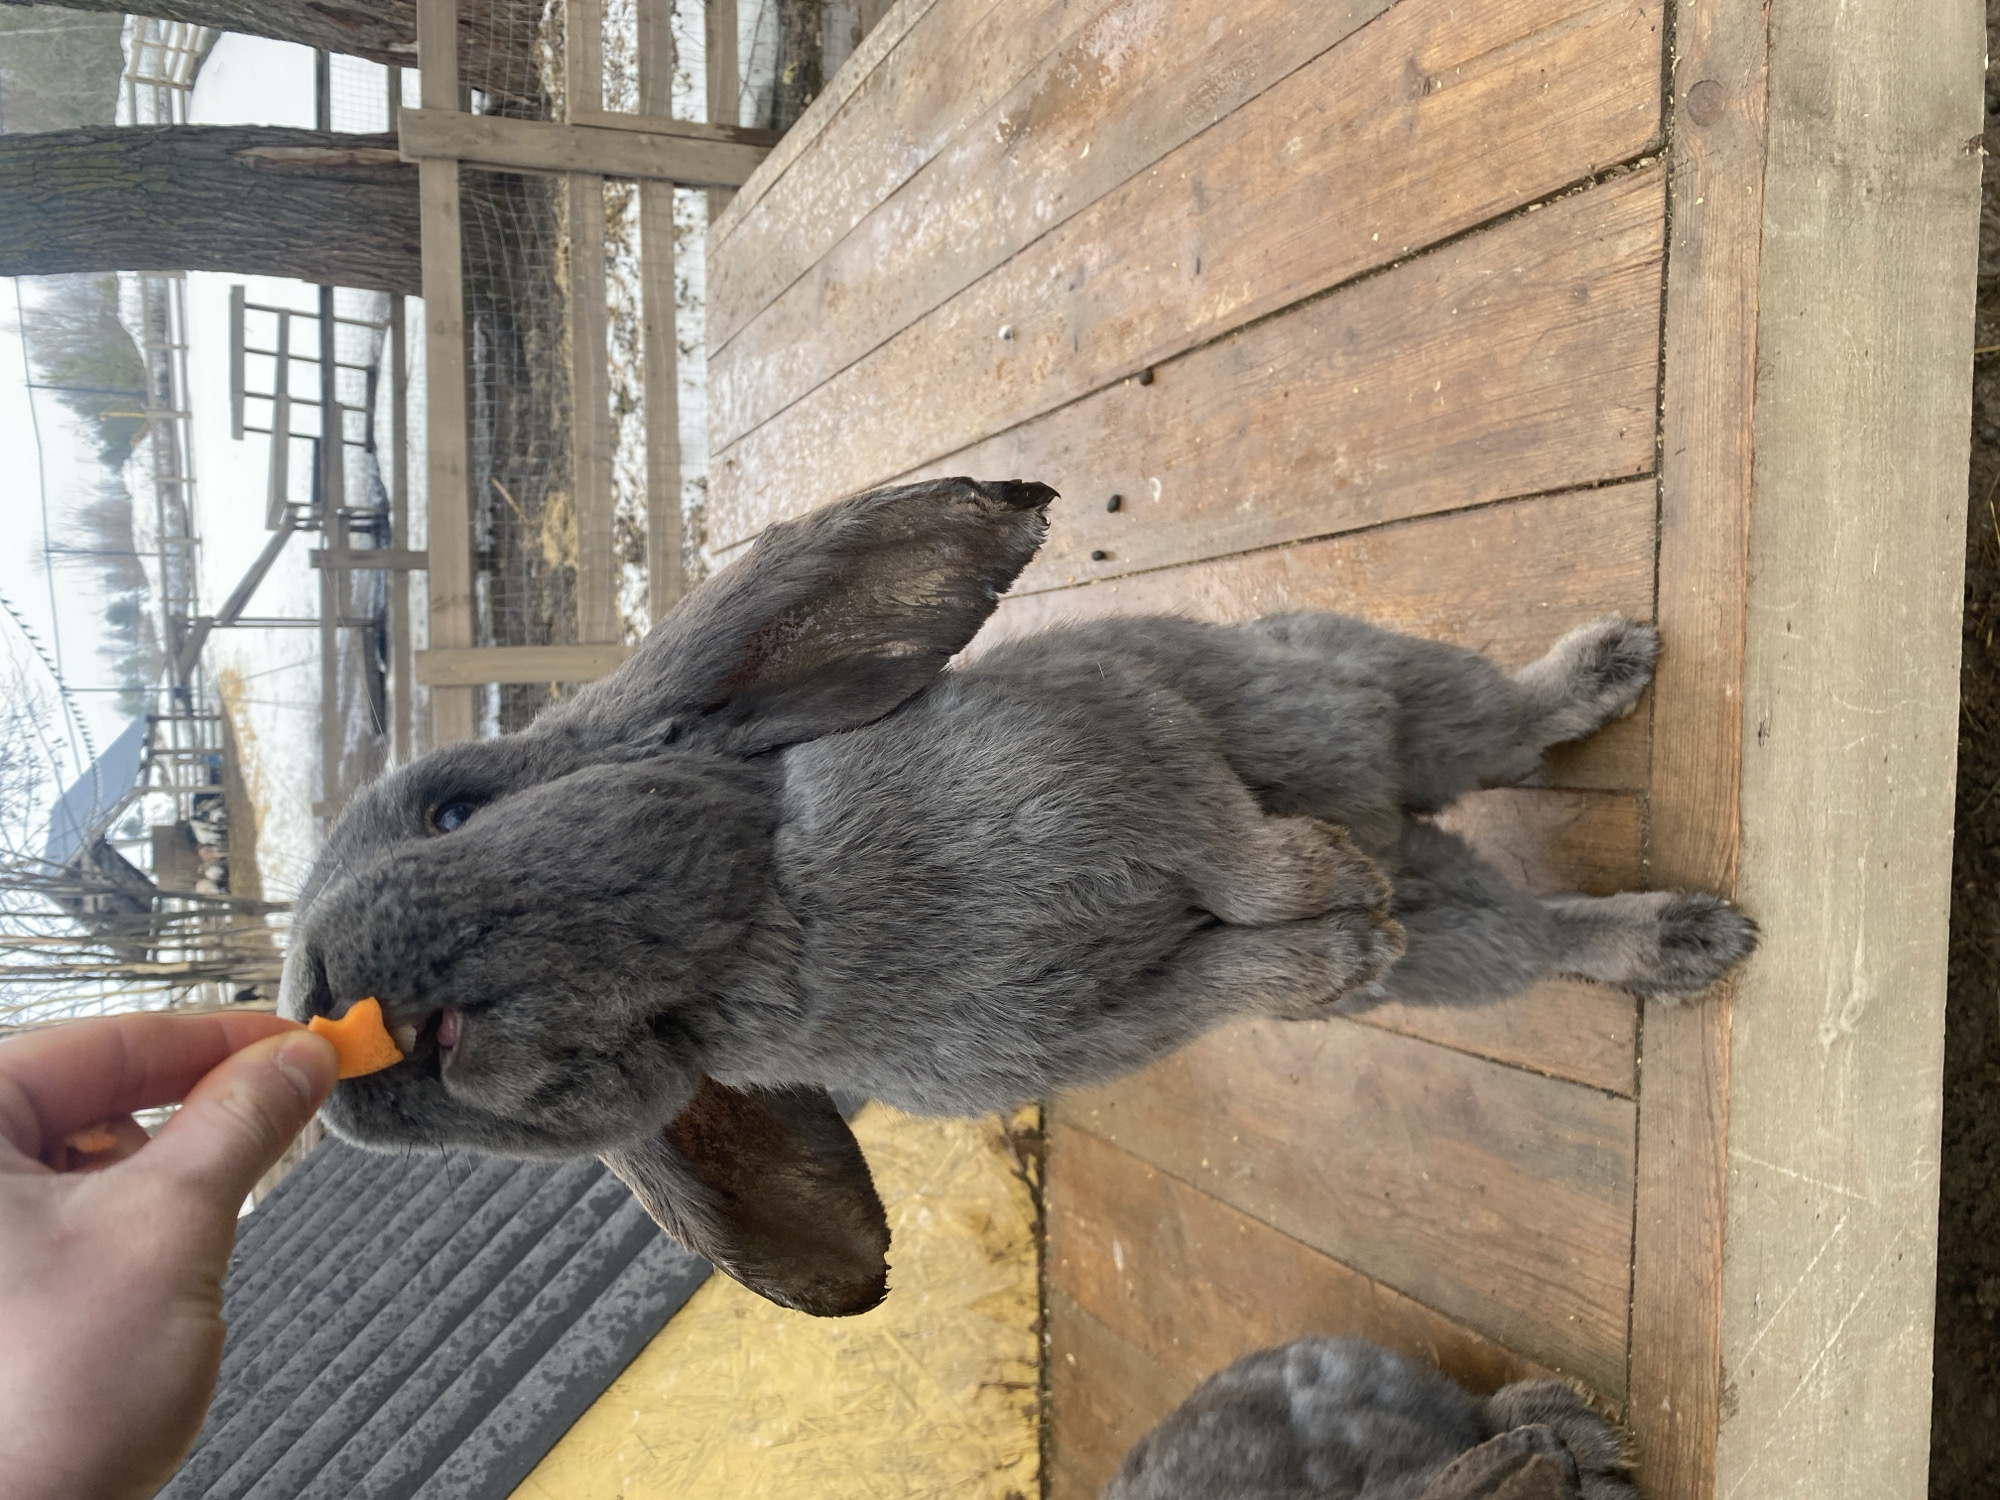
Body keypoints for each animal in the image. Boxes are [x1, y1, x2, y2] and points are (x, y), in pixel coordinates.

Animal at [279, 477, 1755, 1316]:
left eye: (455, 807)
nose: (318, 1009)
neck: (784, 921)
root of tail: (1418, 814)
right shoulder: (1114, 1015)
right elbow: (1230, 964)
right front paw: (1340, 939)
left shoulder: (1129, 749)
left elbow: (1231, 846)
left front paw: (1324, 883)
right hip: (1461, 928)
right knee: (1540, 929)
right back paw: (1669, 938)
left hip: (1368, 697)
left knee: (1506, 733)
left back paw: (1614, 688)